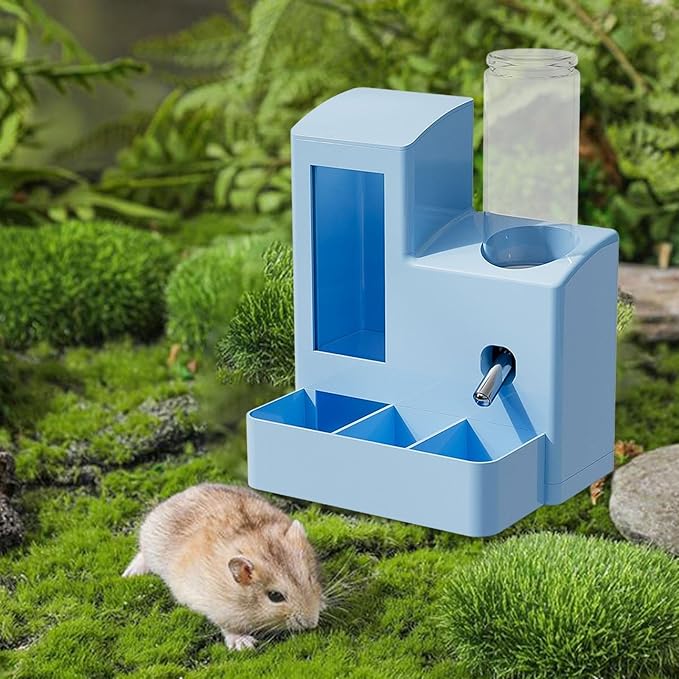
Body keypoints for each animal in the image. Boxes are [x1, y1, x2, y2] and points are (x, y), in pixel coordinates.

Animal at [123, 483, 324, 650]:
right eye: (275, 596)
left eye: (310, 578)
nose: (312, 623)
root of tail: (178, 495)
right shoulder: (218, 609)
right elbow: (228, 627)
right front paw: (245, 645)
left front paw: (322, 604)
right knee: (142, 555)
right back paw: (130, 574)